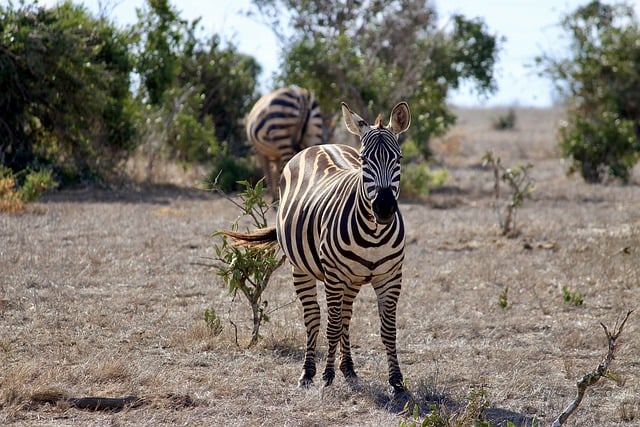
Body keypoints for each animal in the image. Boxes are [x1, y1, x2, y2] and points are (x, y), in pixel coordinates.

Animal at [224, 101, 411, 393]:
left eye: (398, 159)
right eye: (364, 160)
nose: (383, 208)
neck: (374, 234)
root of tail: (320, 145)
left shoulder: (391, 277)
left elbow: (388, 330)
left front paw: (397, 381)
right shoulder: (333, 276)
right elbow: (331, 327)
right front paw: (327, 376)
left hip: (352, 279)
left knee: (345, 317)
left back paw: (349, 369)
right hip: (301, 269)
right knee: (314, 318)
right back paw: (309, 373)